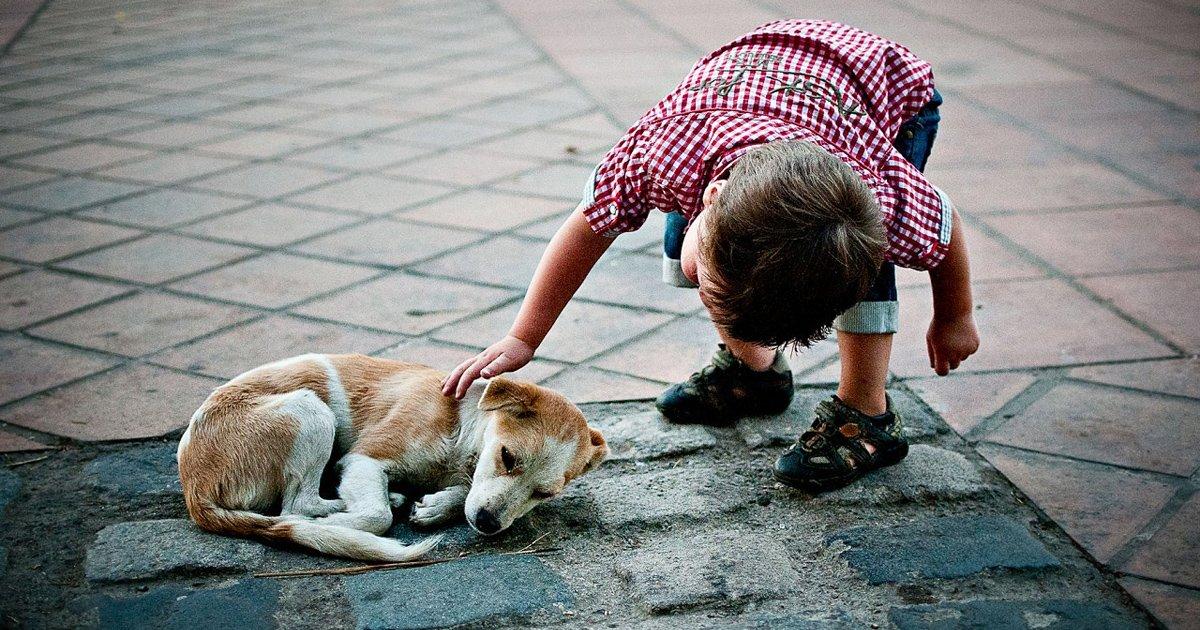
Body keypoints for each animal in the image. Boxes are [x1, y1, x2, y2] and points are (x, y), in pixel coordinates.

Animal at [175, 352, 609, 559]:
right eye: (507, 456)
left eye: (544, 493)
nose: (488, 524)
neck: (462, 425)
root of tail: (194, 489)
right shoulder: (364, 458)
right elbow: (377, 516)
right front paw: (347, 523)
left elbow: (462, 493)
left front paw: (436, 506)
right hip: (310, 411)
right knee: (294, 508)